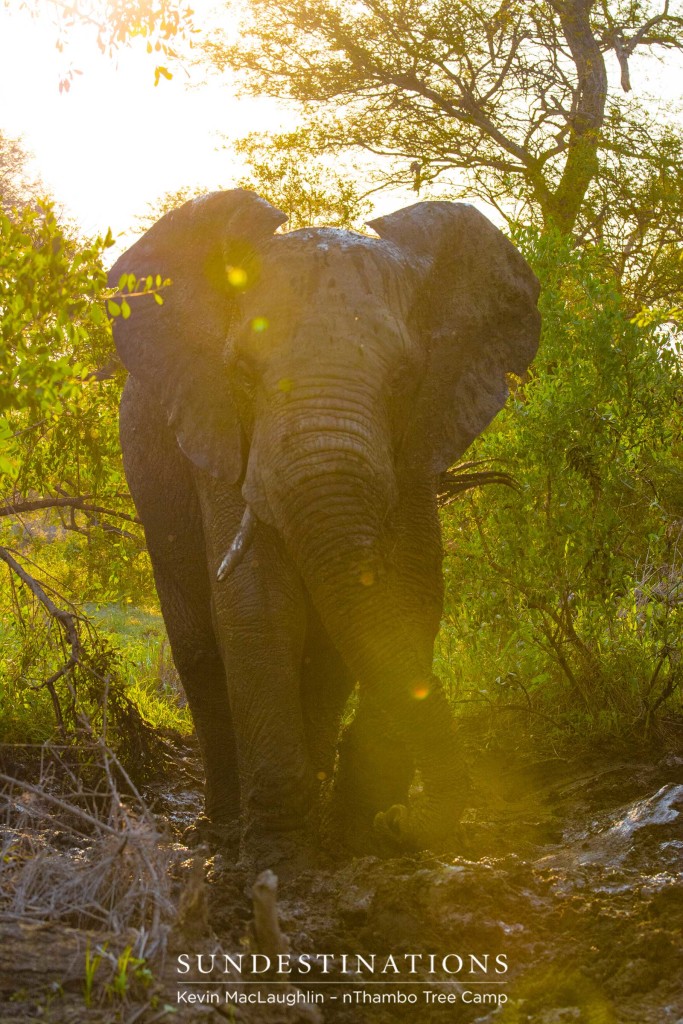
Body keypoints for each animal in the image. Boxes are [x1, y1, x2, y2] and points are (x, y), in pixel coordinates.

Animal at [109, 192, 540, 872]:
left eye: (404, 380)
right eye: (241, 375)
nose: (403, 822)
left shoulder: (414, 444)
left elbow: (415, 589)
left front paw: (363, 827)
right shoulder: (220, 430)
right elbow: (257, 602)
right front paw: (278, 855)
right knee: (198, 643)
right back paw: (223, 827)